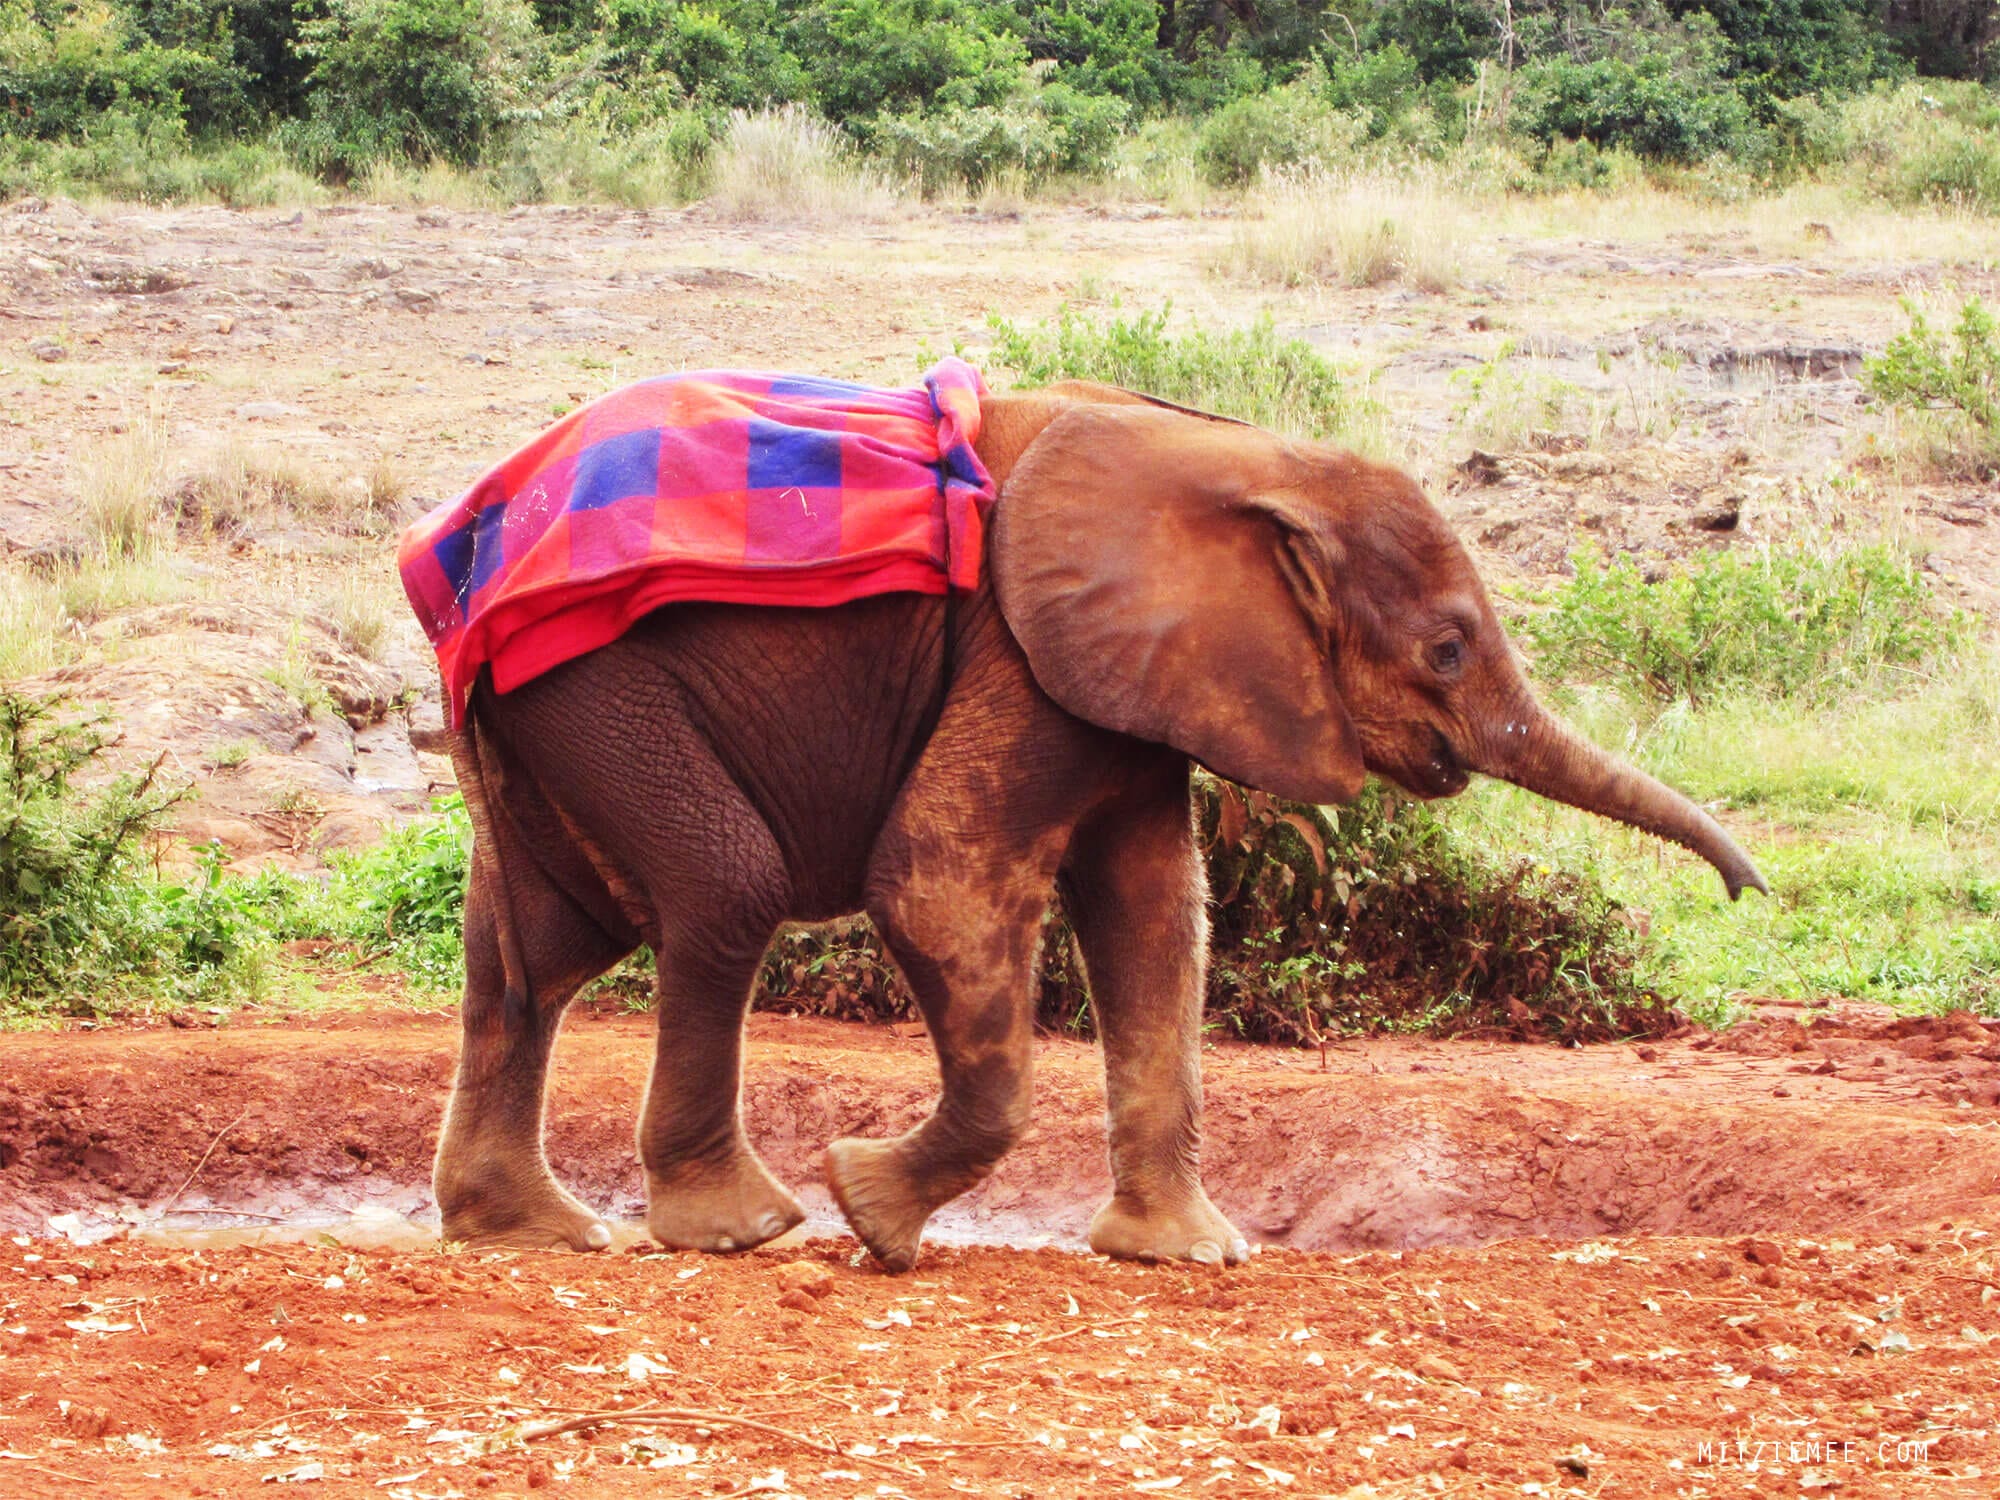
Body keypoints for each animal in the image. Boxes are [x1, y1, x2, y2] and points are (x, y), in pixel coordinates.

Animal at [431, 378, 1765, 1272]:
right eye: (1444, 649)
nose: (1747, 892)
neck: (1241, 454)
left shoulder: (1138, 680)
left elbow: (1153, 922)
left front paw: (1183, 1255)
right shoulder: (1018, 655)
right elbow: (939, 879)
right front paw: (866, 1211)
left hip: (558, 708)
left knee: (533, 952)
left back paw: (535, 1230)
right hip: (597, 682)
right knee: (721, 889)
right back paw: (743, 1227)